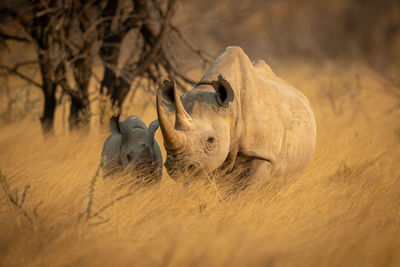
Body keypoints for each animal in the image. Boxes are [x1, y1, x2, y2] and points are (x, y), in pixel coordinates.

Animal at [156, 46, 316, 186]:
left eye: (211, 140)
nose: (177, 169)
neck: (231, 109)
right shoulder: (203, 162)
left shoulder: (262, 154)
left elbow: (246, 192)